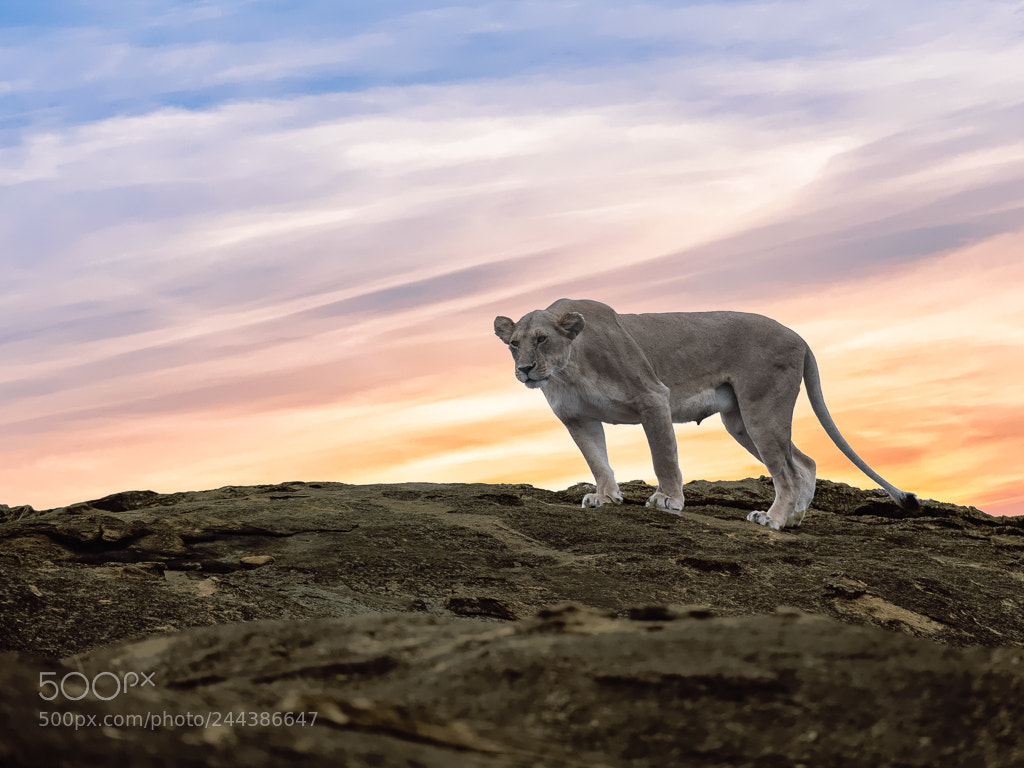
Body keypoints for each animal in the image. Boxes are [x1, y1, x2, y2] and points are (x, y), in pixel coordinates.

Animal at [494, 298, 918, 530]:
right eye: (513, 344)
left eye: (542, 339)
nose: (525, 370)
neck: (568, 368)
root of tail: (797, 335)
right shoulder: (578, 418)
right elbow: (597, 460)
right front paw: (605, 497)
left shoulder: (653, 397)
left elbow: (663, 457)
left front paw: (668, 501)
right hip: (741, 421)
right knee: (805, 461)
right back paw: (794, 518)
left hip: (761, 409)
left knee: (787, 471)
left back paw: (773, 520)